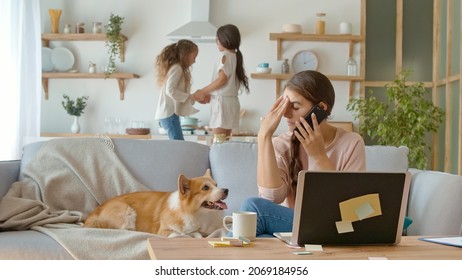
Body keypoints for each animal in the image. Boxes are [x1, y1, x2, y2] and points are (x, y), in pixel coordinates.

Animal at [84, 170, 228, 237]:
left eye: (216, 185)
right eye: (205, 188)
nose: (227, 190)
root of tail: (95, 213)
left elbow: (196, 234)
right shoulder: (164, 231)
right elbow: (178, 234)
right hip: (126, 211)